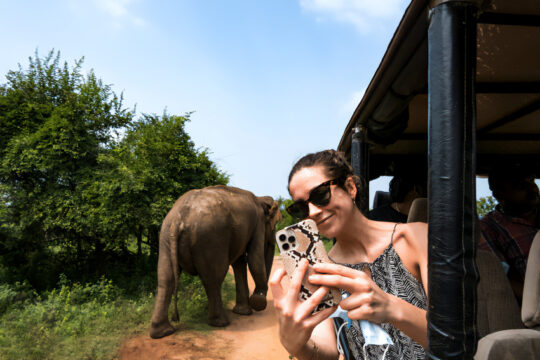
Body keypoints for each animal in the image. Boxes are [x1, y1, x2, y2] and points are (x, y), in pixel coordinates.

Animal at [149, 184, 282, 338]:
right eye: (275, 224)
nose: (259, 297)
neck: (260, 199)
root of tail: (178, 219)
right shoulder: (258, 224)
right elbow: (254, 259)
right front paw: (257, 303)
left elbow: (240, 262)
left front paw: (243, 312)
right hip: (210, 239)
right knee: (213, 279)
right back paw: (221, 322)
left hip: (165, 236)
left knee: (166, 280)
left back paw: (163, 332)